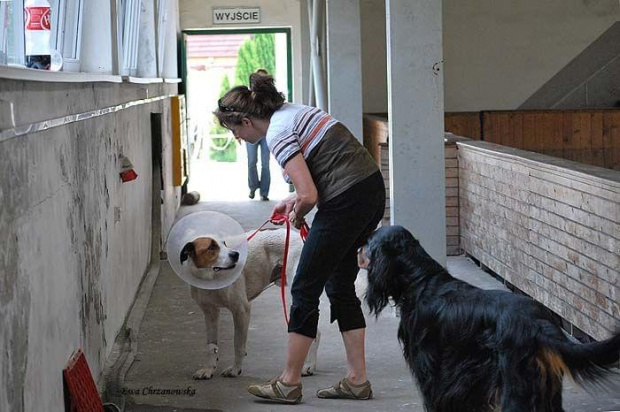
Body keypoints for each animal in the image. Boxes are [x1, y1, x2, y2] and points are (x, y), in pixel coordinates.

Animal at [177, 229, 318, 380]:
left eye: (224, 243)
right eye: (211, 247)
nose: (235, 254)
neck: (211, 278)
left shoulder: (241, 310)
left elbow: (238, 344)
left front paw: (235, 369)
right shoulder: (210, 313)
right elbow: (211, 346)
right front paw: (209, 369)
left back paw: (309, 366)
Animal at [358, 225, 620, 412]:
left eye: (369, 241)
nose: (358, 249)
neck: (421, 281)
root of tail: (541, 324)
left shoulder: (432, 373)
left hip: (516, 389)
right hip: (547, 392)